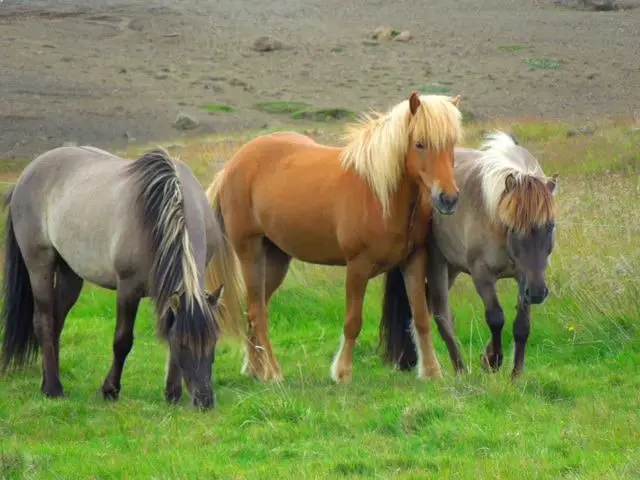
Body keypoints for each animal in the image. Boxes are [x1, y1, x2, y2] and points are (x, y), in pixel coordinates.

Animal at [0, 146, 229, 408]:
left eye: (213, 342)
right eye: (183, 344)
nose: (205, 400)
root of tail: (27, 173)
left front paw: (172, 393)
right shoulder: (128, 290)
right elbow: (122, 340)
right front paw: (110, 389)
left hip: (70, 273)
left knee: (57, 321)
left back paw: (47, 381)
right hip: (39, 265)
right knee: (44, 321)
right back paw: (53, 389)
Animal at [202, 92, 462, 382]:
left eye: (452, 143)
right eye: (420, 144)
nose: (448, 198)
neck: (380, 194)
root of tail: (232, 165)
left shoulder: (414, 262)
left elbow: (420, 318)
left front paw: (432, 371)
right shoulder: (358, 267)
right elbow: (353, 322)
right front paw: (343, 373)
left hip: (276, 260)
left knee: (255, 308)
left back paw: (256, 369)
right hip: (251, 253)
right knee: (258, 312)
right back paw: (273, 372)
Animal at [378, 131, 556, 378]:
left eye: (550, 226)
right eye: (511, 228)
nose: (539, 293)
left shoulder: (525, 277)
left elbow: (522, 326)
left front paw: (516, 373)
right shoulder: (482, 275)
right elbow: (495, 318)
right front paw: (493, 360)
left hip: (452, 268)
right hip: (437, 265)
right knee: (441, 315)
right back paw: (460, 369)